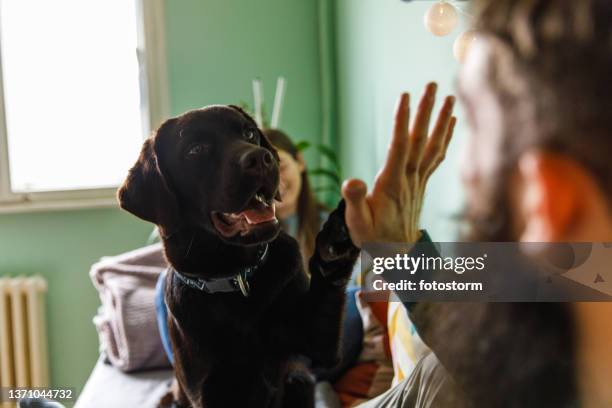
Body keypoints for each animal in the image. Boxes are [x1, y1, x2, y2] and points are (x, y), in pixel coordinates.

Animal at [116, 106, 358, 408]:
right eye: (196, 149)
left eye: (249, 133)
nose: (262, 158)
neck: (236, 277)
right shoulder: (207, 391)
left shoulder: (319, 344)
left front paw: (337, 241)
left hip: (299, 380)